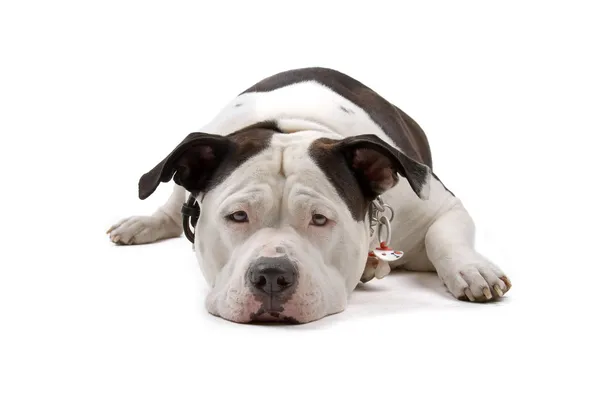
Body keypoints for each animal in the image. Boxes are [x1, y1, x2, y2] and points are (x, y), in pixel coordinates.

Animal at [106, 67, 510, 324]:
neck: (291, 127)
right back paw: (143, 223)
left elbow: (444, 234)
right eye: (238, 216)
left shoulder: (440, 205)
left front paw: (473, 269)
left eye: (319, 219)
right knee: (175, 202)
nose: (271, 276)